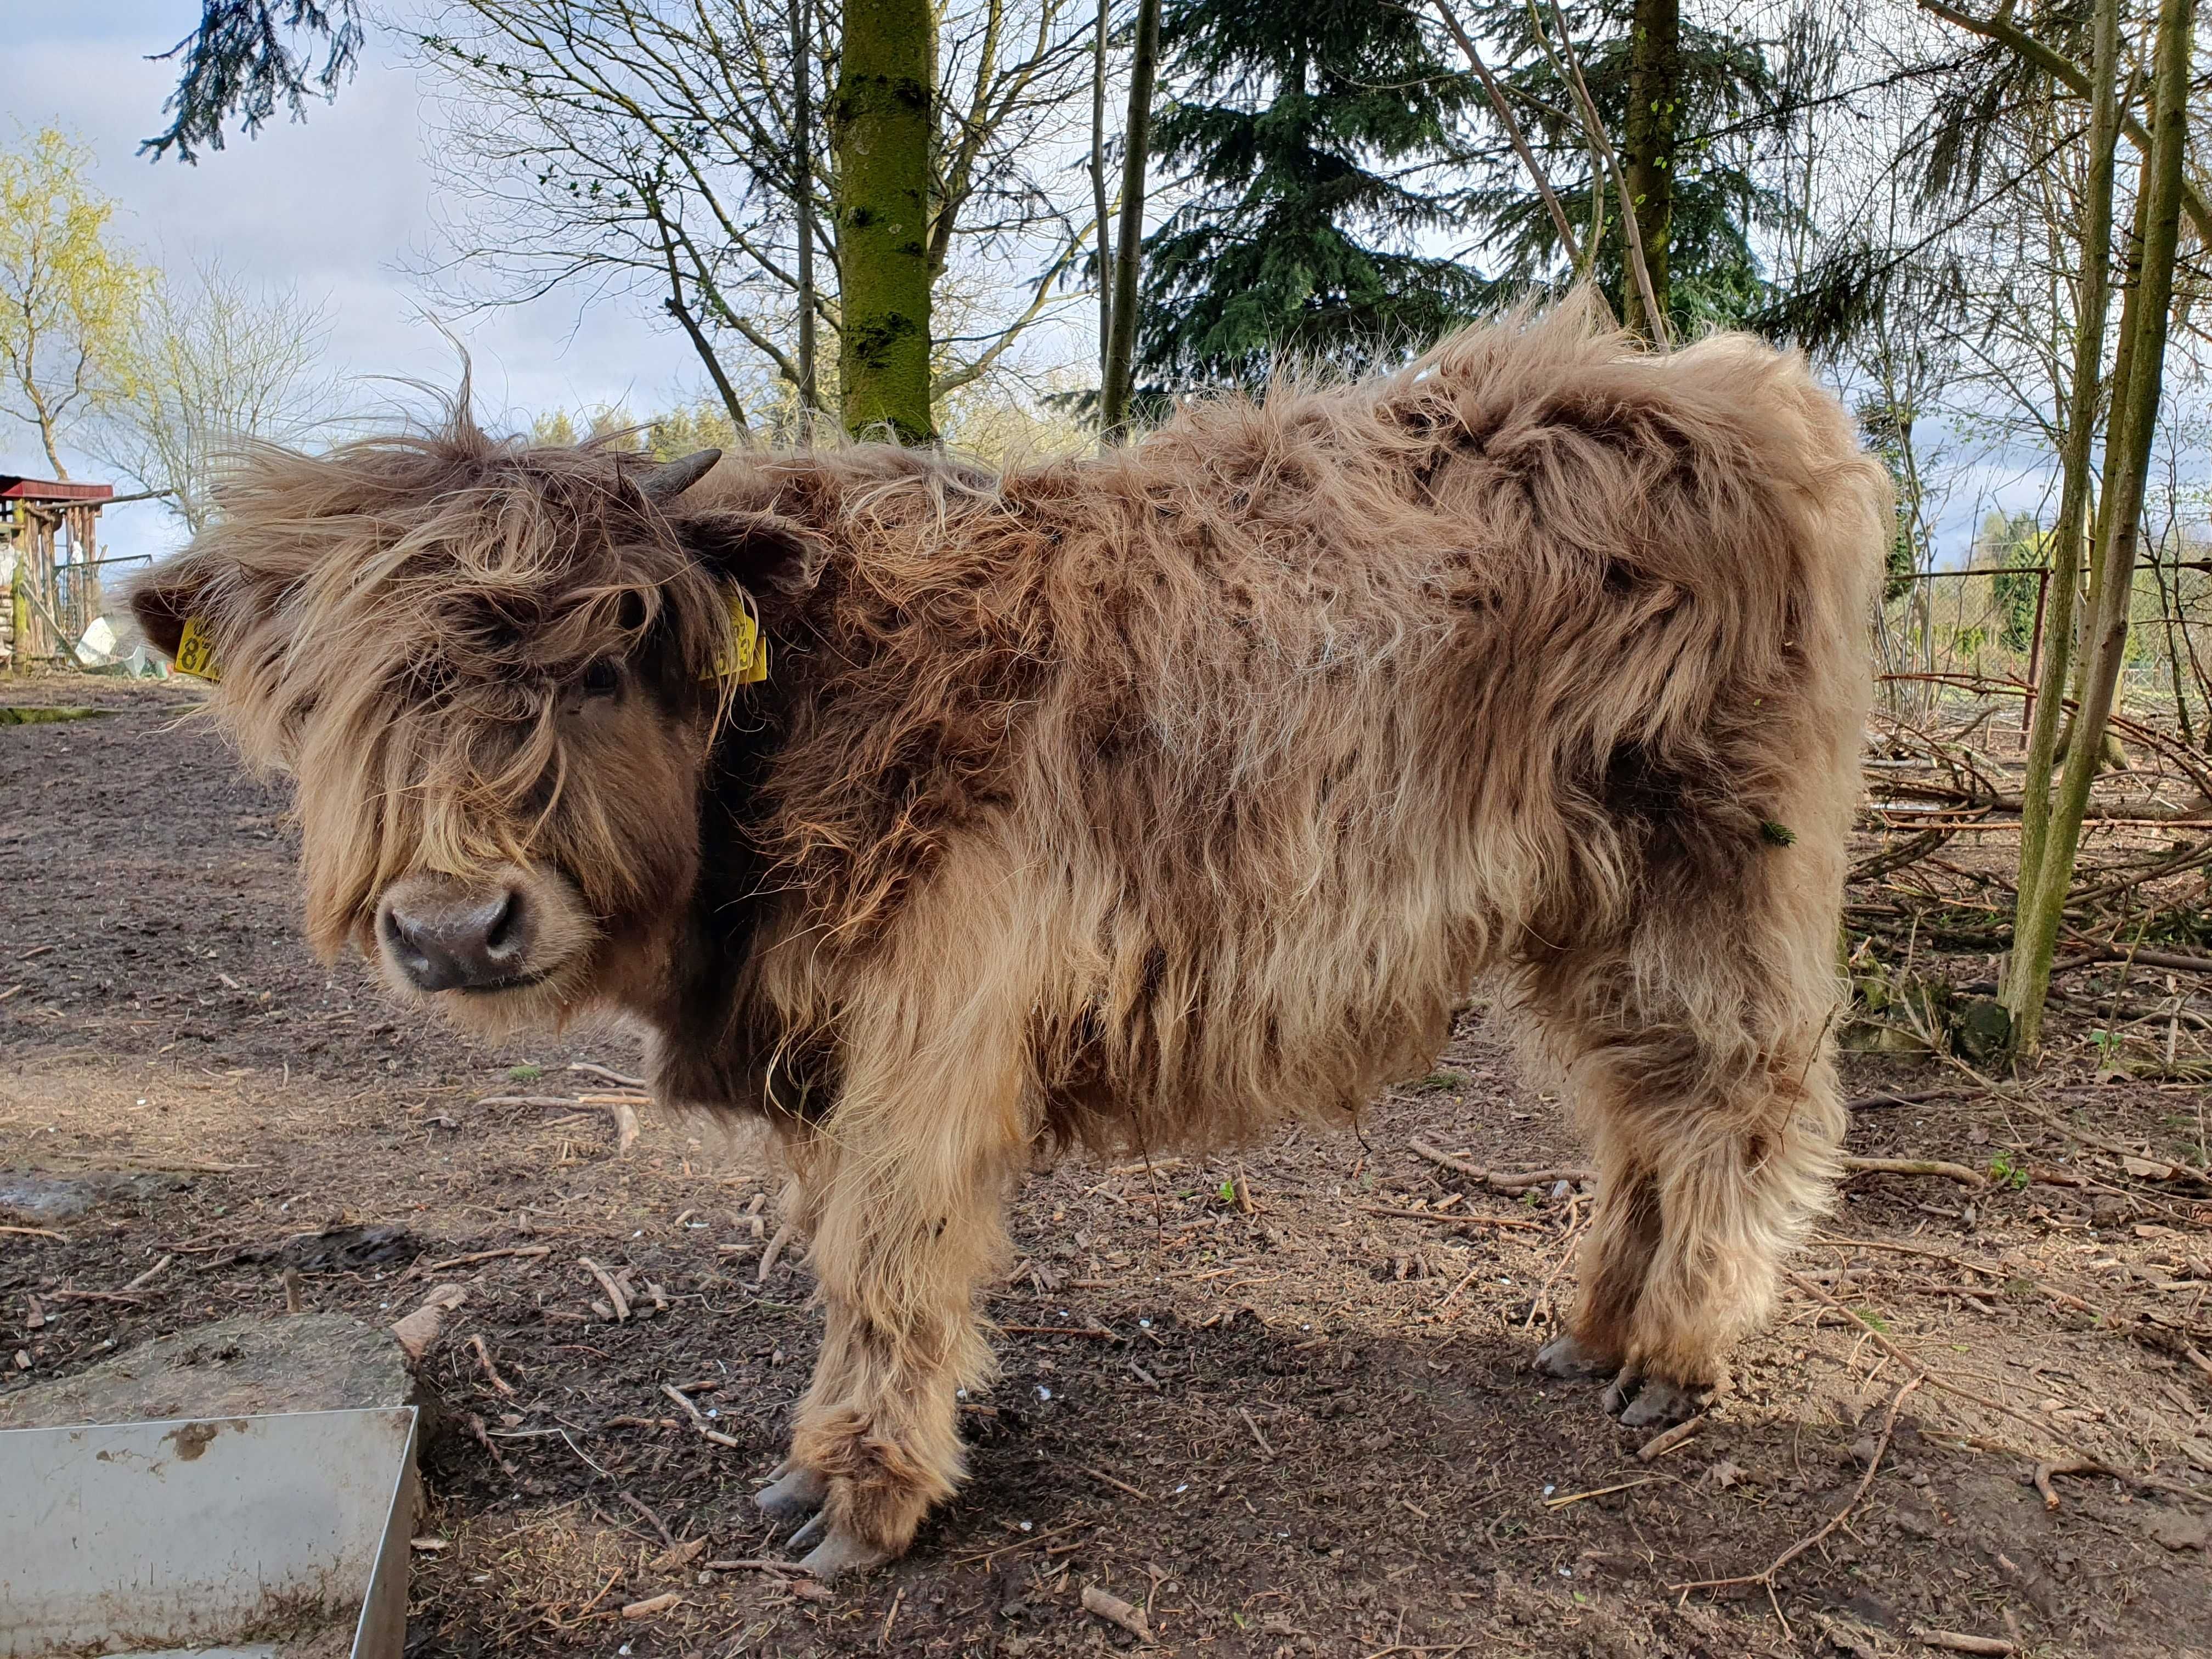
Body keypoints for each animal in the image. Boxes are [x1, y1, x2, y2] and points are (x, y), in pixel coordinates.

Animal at [129, 303, 1884, 1583]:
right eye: (332, 700)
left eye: (605, 666)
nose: (453, 924)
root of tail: (1724, 379)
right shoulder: (832, 1047)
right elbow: (840, 1249)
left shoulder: (935, 1027)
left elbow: (889, 1253)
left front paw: (862, 1498)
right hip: (1593, 904)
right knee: (1644, 1104)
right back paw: (1599, 1329)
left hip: (1718, 872)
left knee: (1742, 1093)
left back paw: (1678, 1349)